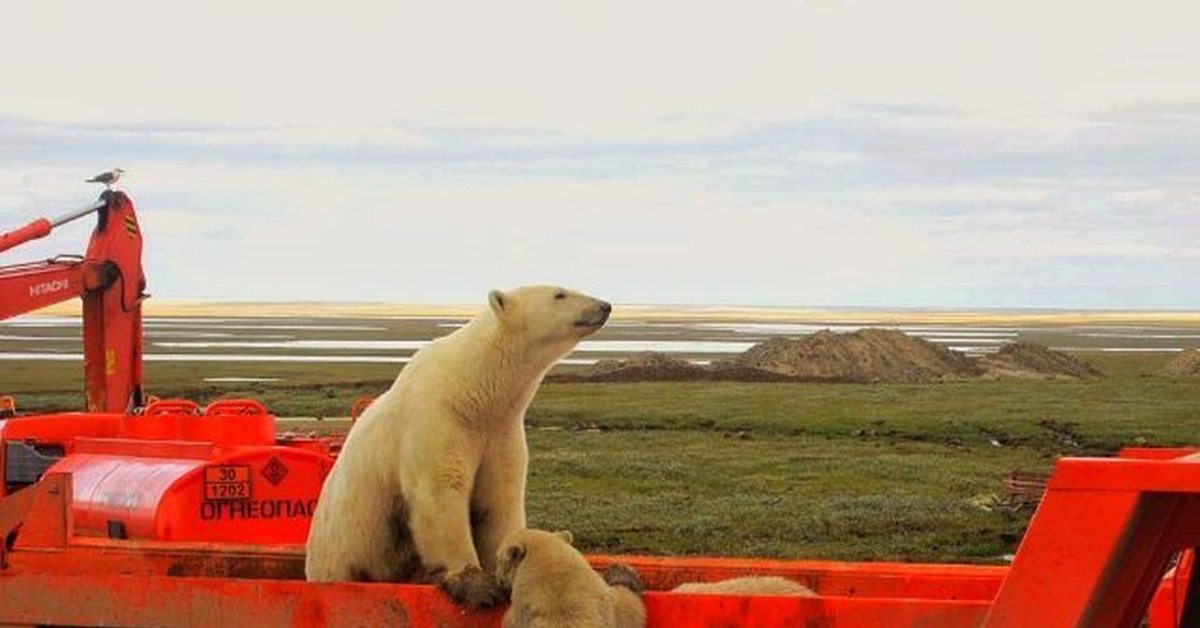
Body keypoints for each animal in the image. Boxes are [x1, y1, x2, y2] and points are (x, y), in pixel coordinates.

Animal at [304, 285, 614, 609]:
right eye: (560, 294)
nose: (605, 306)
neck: (472, 391)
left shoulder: (500, 431)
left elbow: (500, 497)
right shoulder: (437, 419)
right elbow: (441, 492)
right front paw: (478, 585)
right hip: (342, 551)